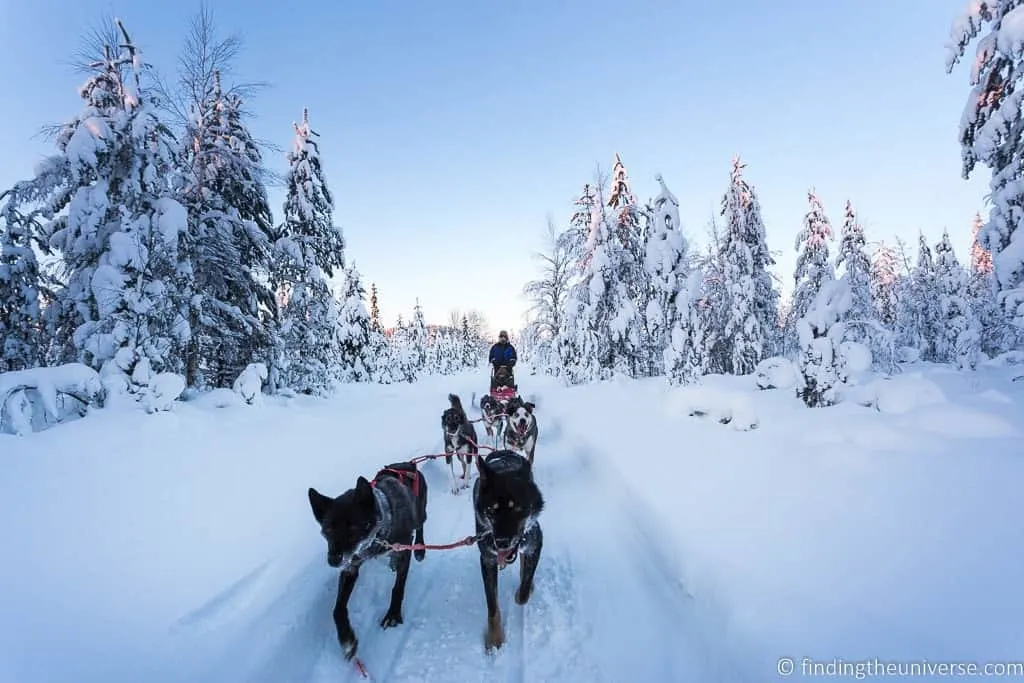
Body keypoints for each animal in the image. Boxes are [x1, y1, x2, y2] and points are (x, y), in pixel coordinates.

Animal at [307, 462, 428, 659]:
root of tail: (408, 464)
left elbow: (398, 588)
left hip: (420, 513)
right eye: (328, 530)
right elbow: (337, 609)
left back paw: (420, 548)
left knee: (421, 525)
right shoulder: (351, 566)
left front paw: (393, 614)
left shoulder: (403, 551)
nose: (333, 560)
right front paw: (347, 639)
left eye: (353, 527)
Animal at [471, 448, 544, 651]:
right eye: (490, 511)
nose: (501, 543)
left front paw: (524, 590)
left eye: (517, 508)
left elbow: (524, 590)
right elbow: (492, 608)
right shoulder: (487, 560)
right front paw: (495, 639)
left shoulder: (535, 544)